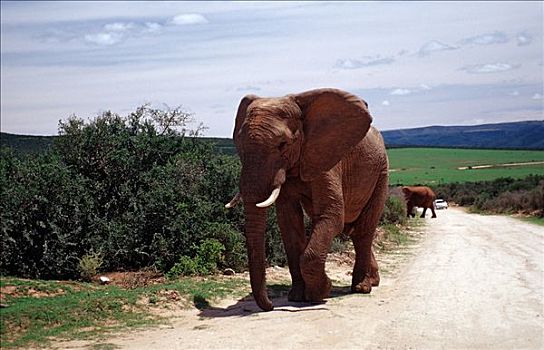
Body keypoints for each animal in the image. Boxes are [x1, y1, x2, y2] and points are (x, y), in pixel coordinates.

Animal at [223, 88, 388, 312]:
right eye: (238, 144)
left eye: (283, 144)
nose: (270, 305)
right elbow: (288, 223)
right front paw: (297, 297)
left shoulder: (326, 156)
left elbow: (331, 215)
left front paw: (322, 291)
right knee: (354, 231)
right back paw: (373, 281)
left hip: (382, 172)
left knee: (364, 230)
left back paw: (362, 288)